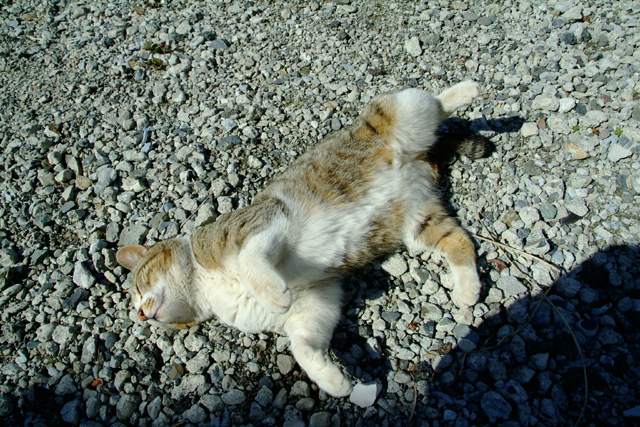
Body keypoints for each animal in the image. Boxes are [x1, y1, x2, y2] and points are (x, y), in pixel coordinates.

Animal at [116, 80, 485, 397]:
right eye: (136, 309)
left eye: (139, 284)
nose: (142, 316)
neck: (208, 285)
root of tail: (423, 157)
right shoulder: (316, 300)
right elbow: (304, 346)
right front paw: (334, 380)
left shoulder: (265, 222)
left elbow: (249, 259)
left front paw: (272, 292)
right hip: (420, 222)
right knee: (459, 240)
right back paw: (468, 290)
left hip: (399, 114)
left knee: (429, 103)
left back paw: (466, 90)